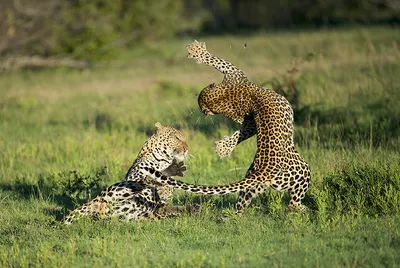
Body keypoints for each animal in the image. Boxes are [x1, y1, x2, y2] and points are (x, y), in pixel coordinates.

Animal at [63, 123, 199, 224]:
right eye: (177, 138)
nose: (187, 149)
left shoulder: (162, 204)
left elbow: (168, 203)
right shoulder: (135, 175)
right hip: (114, 196)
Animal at [148, 39, 310, 214]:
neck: (223, 96)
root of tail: (264, 171)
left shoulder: (247, 116)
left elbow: (242, 131)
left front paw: (223, 148)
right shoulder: (235, 73)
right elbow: (216, 60)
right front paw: (198, 51)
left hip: (251, 185)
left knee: (239, 205)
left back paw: (233, 216)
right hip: (303, 171)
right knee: (292, 203)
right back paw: (304, 209)